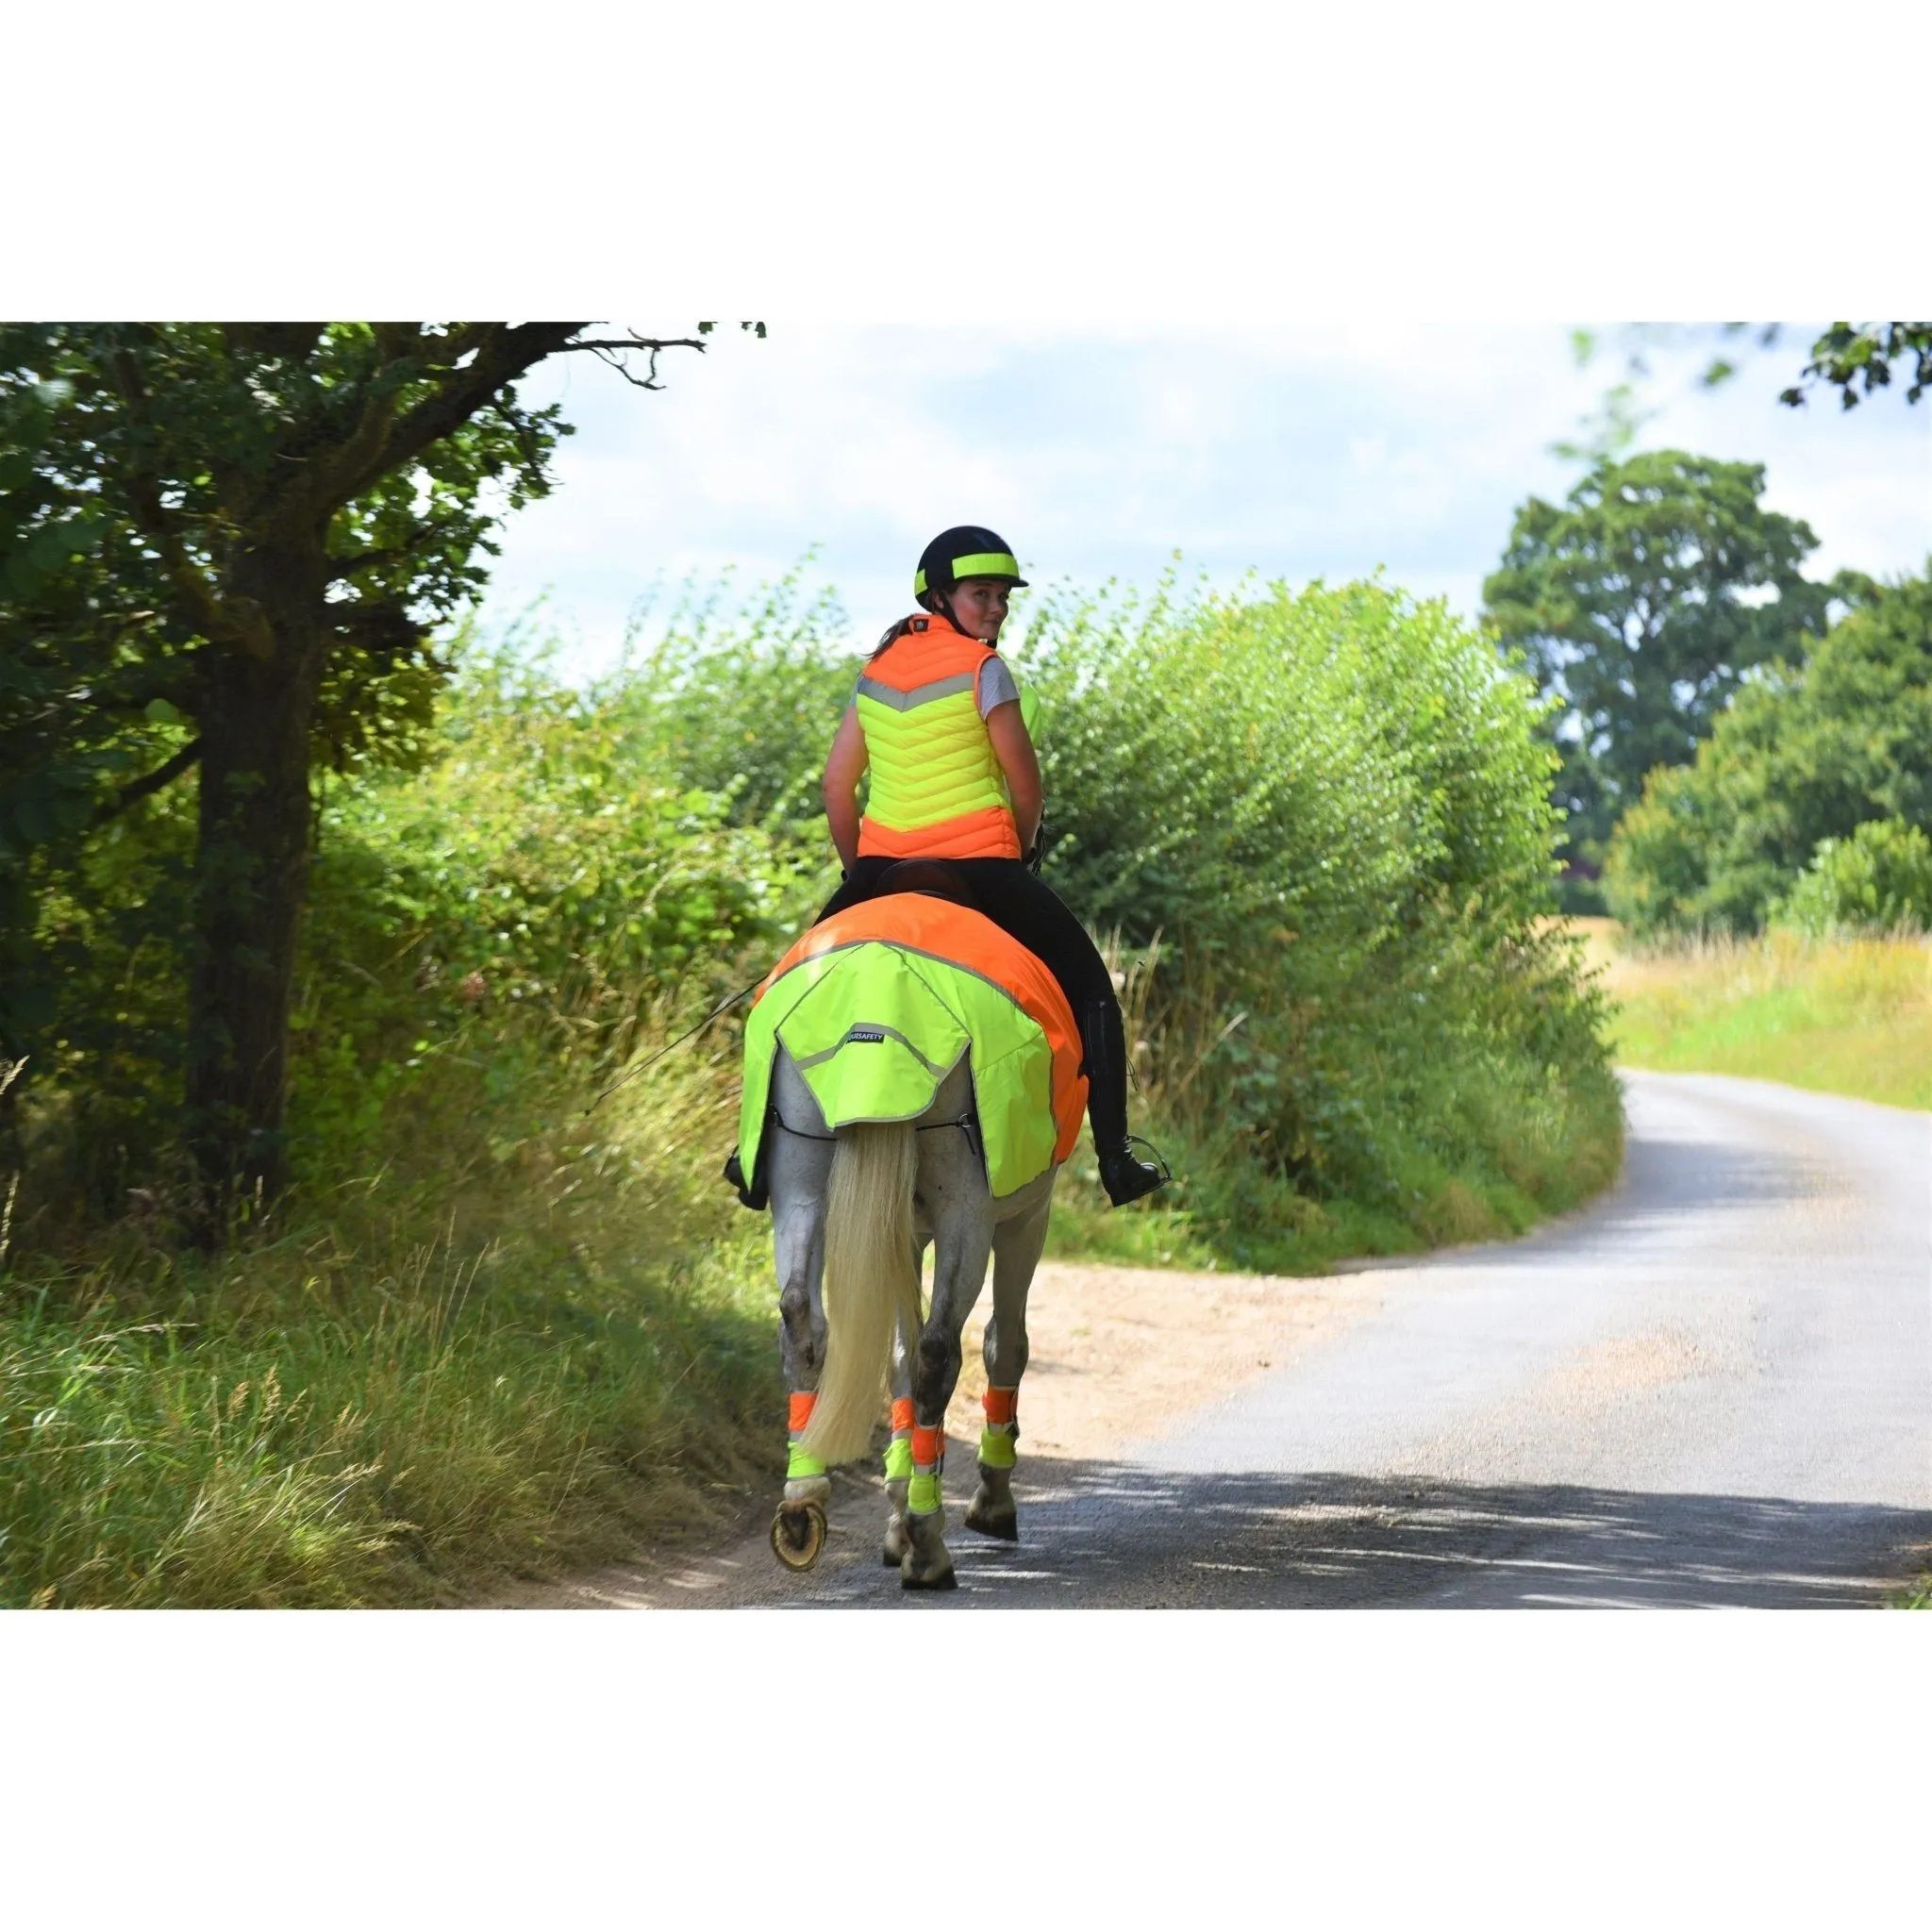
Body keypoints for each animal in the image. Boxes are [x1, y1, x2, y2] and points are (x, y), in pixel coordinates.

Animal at [769, 1051, 1066, 1591]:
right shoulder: (1028, 1213)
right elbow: (1005, 1345)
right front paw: (990, 1500)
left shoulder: (902, 1231)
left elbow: (898, 1361)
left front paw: (896, 1516)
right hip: (967, 1215)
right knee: (939, 1352)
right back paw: (928, 1546)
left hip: (800, 1182)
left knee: (801, 1317)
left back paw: (803, 1503)